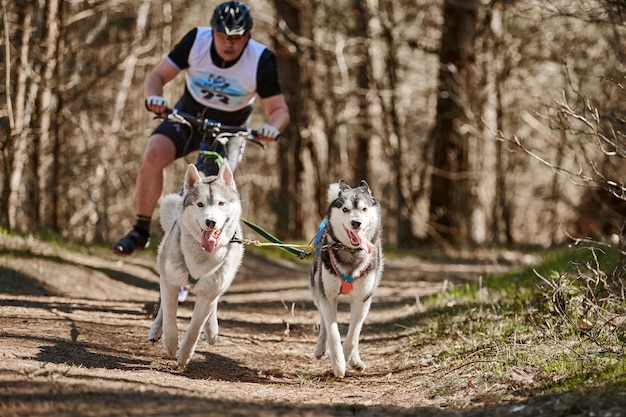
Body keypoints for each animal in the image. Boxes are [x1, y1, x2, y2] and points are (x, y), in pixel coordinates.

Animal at [147, 162, 243, 368]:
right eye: (200, 204)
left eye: (221, 203)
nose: (211, 222)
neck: (201, 257)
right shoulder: (170, 281)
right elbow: (170, 317)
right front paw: (170, 344)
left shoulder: (208, 293)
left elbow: (195, 328)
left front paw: (184, 354)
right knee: (163, 308)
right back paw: (156, 330)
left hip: (221, 281)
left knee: (214, 301)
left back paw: (212, 330)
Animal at [310, 179, 382, 376]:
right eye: (345, 209)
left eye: (364, 209)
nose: (356, 223)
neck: (350, 252)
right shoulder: (328, 296)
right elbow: (333, 331)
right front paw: (338, 362)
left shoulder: (362, 298)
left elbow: (354, 332)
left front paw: (348, 355)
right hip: (317, 288)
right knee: (323, 321)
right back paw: (320, 347)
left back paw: (355, 359)